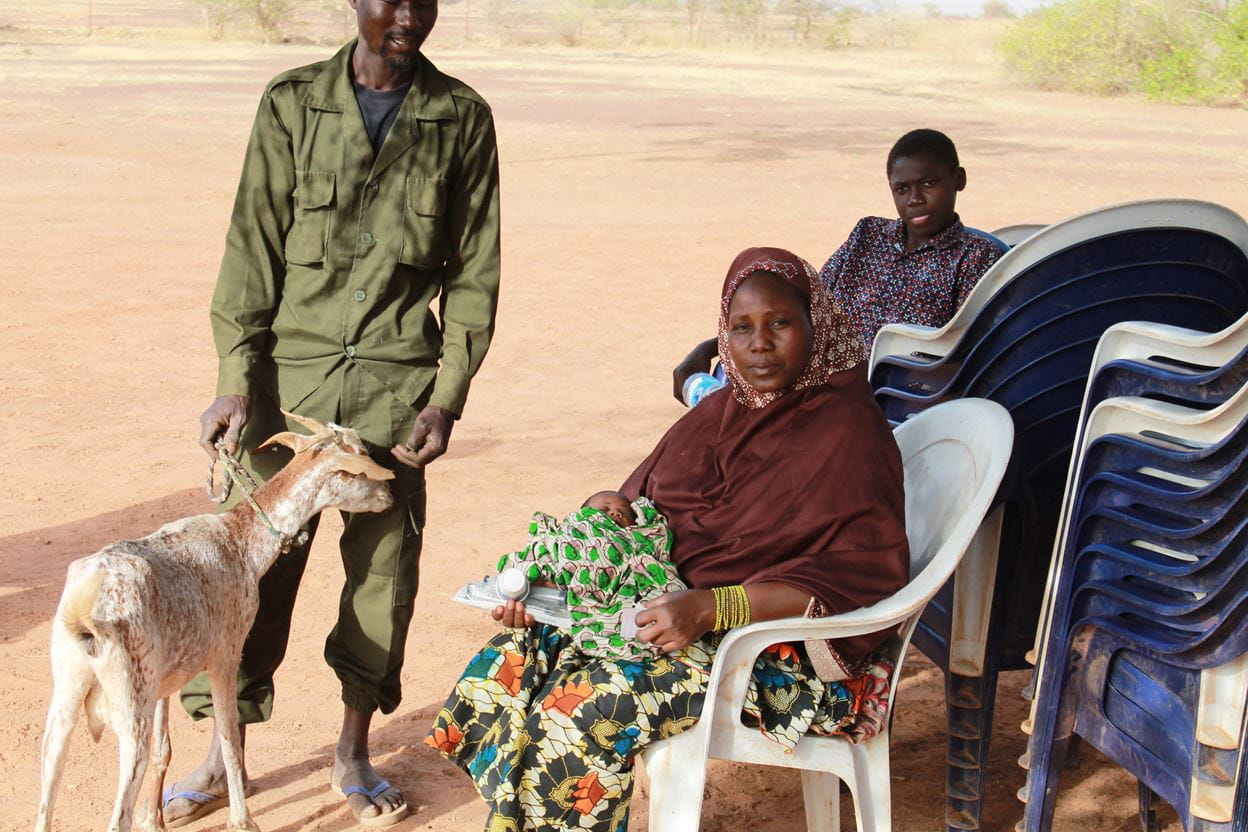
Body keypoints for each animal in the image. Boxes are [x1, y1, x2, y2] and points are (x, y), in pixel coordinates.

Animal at [32, 414, 394, 828]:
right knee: (117, 816)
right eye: (362, 460)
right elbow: (229, 738)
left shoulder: (163, 680)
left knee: (47, 794)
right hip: (129, 711)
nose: (390, 496)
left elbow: (165, 750)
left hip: (67, 695)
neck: (240, 541)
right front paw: (243, 820)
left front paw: (155, 821)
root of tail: (87, 616)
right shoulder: (225, 655)